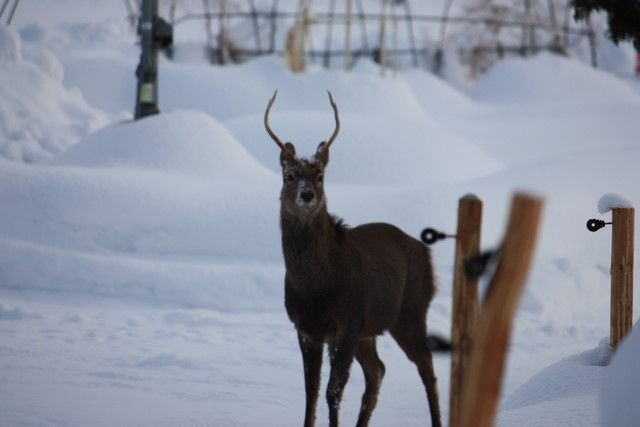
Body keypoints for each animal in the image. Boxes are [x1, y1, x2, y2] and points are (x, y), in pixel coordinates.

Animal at [264, 90, 440, 427]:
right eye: (289, 176)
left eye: (320, 176)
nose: (307, 194)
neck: (315, 286)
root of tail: (426, 253)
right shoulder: (306, 328)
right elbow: (311, 392)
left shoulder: (345, 323)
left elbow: (333, 391)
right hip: (369, 330)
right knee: (378, 370)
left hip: (410, 312)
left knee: (426, 368)